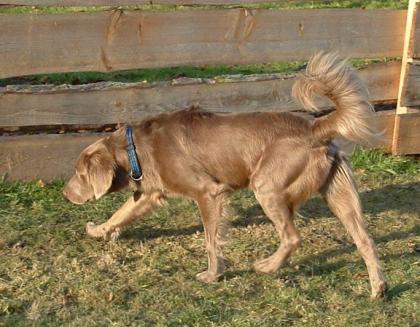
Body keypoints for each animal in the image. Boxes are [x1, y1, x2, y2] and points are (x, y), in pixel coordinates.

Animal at [64, 53, 388, 300]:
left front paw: (212, 274)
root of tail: (317, 127)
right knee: (365, 240)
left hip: (267, 187)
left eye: (79, 173)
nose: (65, 194)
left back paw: (267, 267)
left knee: (292, 237)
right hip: (340, 195)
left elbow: (211, 240)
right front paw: (97, 230)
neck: (135, 149)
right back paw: (378, 288)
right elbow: (119, 215)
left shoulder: (208, 193)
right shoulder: (149, 195)